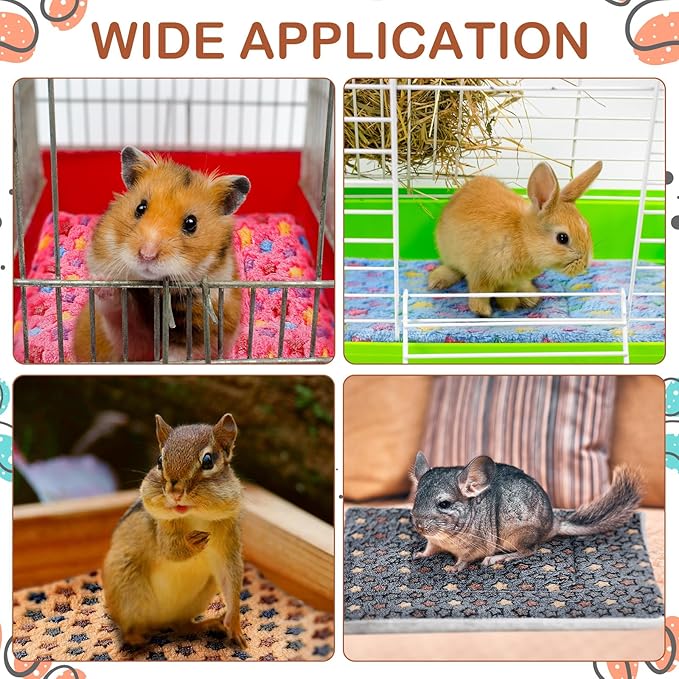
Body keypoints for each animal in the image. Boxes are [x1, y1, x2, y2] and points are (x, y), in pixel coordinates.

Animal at [428, 161, 603, 317]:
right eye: (562, 238)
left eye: (587, 228)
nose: (585, 265)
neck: (523, 239)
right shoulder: (480, 274)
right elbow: (480, 292)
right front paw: (483, 311)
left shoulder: (510, 281)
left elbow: (507, 293)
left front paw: (509, 306)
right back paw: (436, 282)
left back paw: (530, 297)